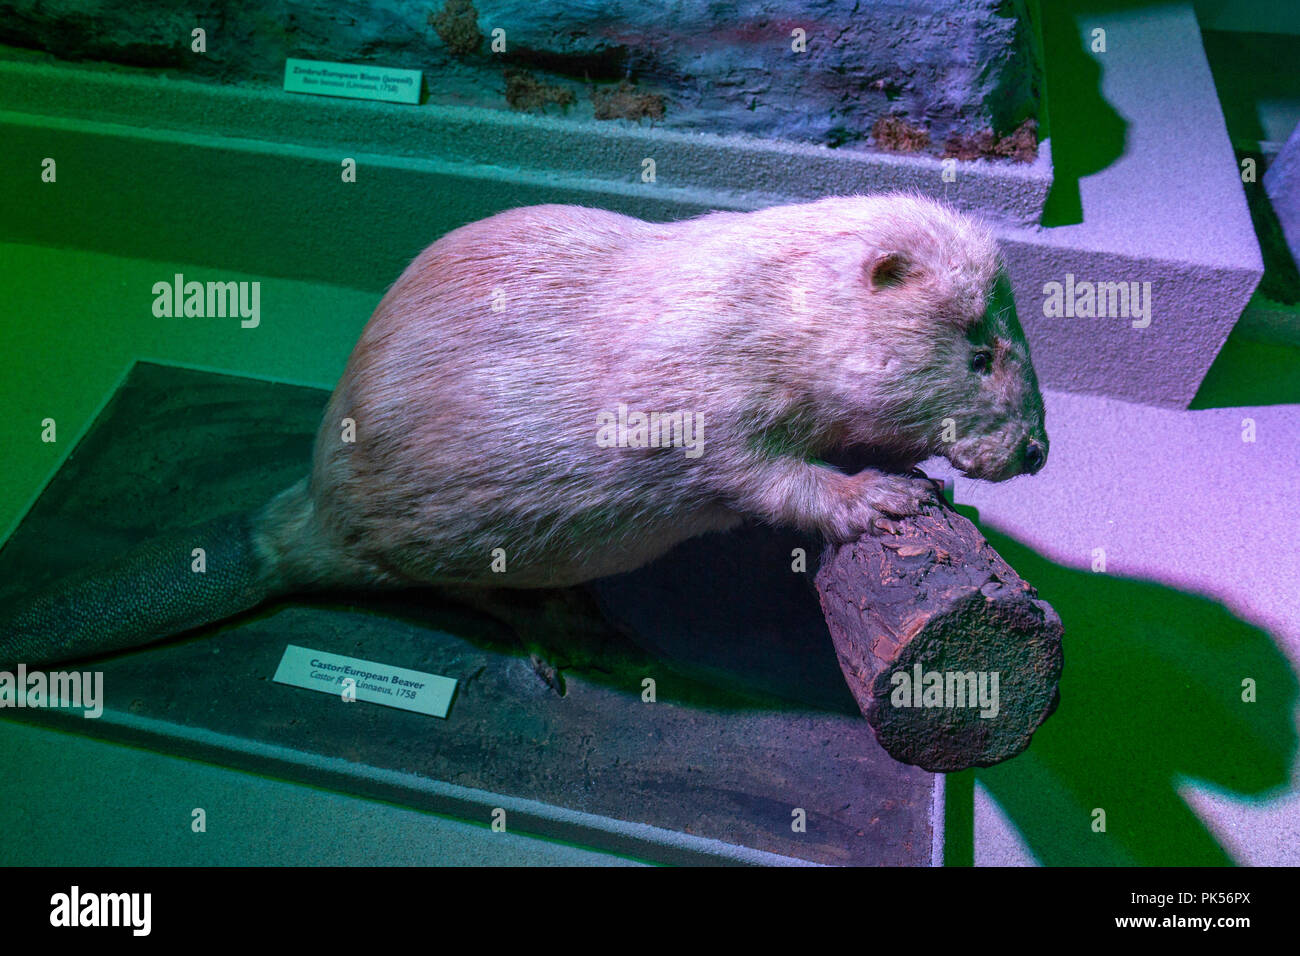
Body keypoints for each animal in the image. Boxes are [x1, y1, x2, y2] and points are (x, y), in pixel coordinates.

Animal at [0, 195, 1045, 671]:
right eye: (981, 349)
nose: (1038, 453)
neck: (768, 301)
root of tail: (278, 533)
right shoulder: (689, 392)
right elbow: (757, 475)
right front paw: (884, 497)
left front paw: (930, 481)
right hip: (437, 546)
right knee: (467, 595)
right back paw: (577, 633)